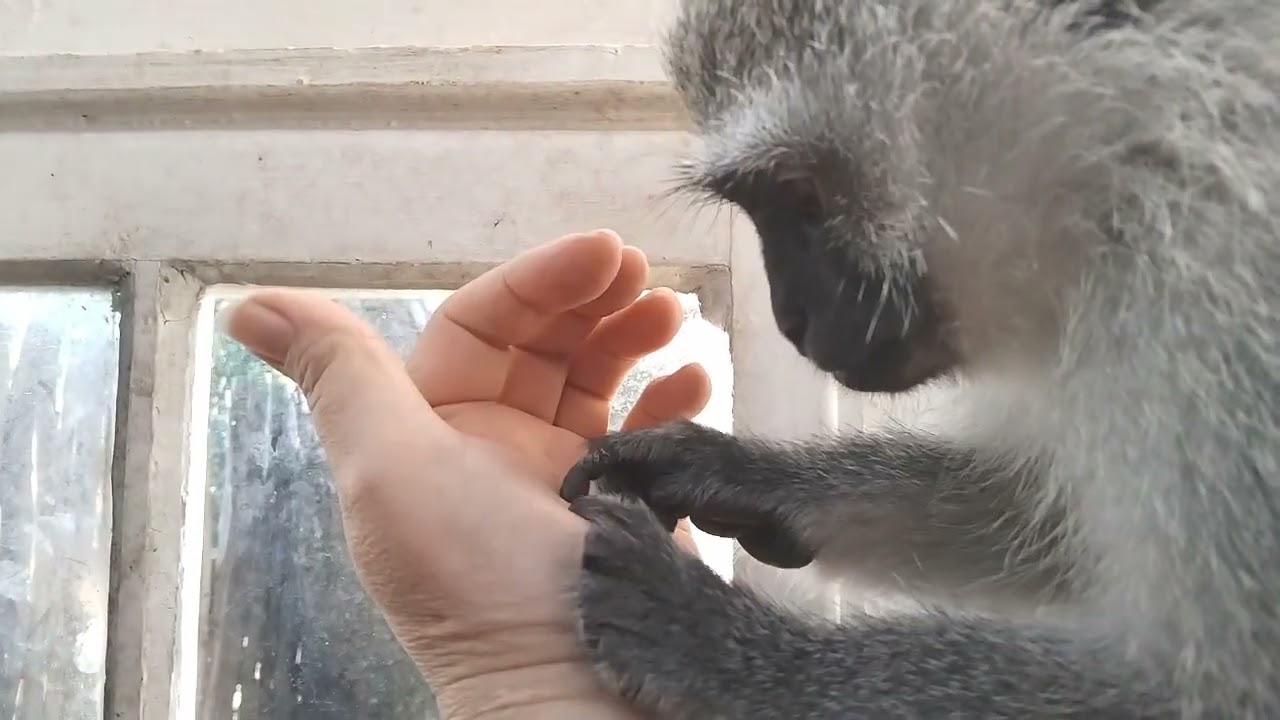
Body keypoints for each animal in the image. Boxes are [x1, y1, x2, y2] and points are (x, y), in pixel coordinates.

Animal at [556, 1, 1280, 718]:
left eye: (803, 196)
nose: (792, 320)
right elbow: (1049, 520)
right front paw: (740, 473)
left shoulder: (1218, 315)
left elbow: (1211, 693)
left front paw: (727, 647)